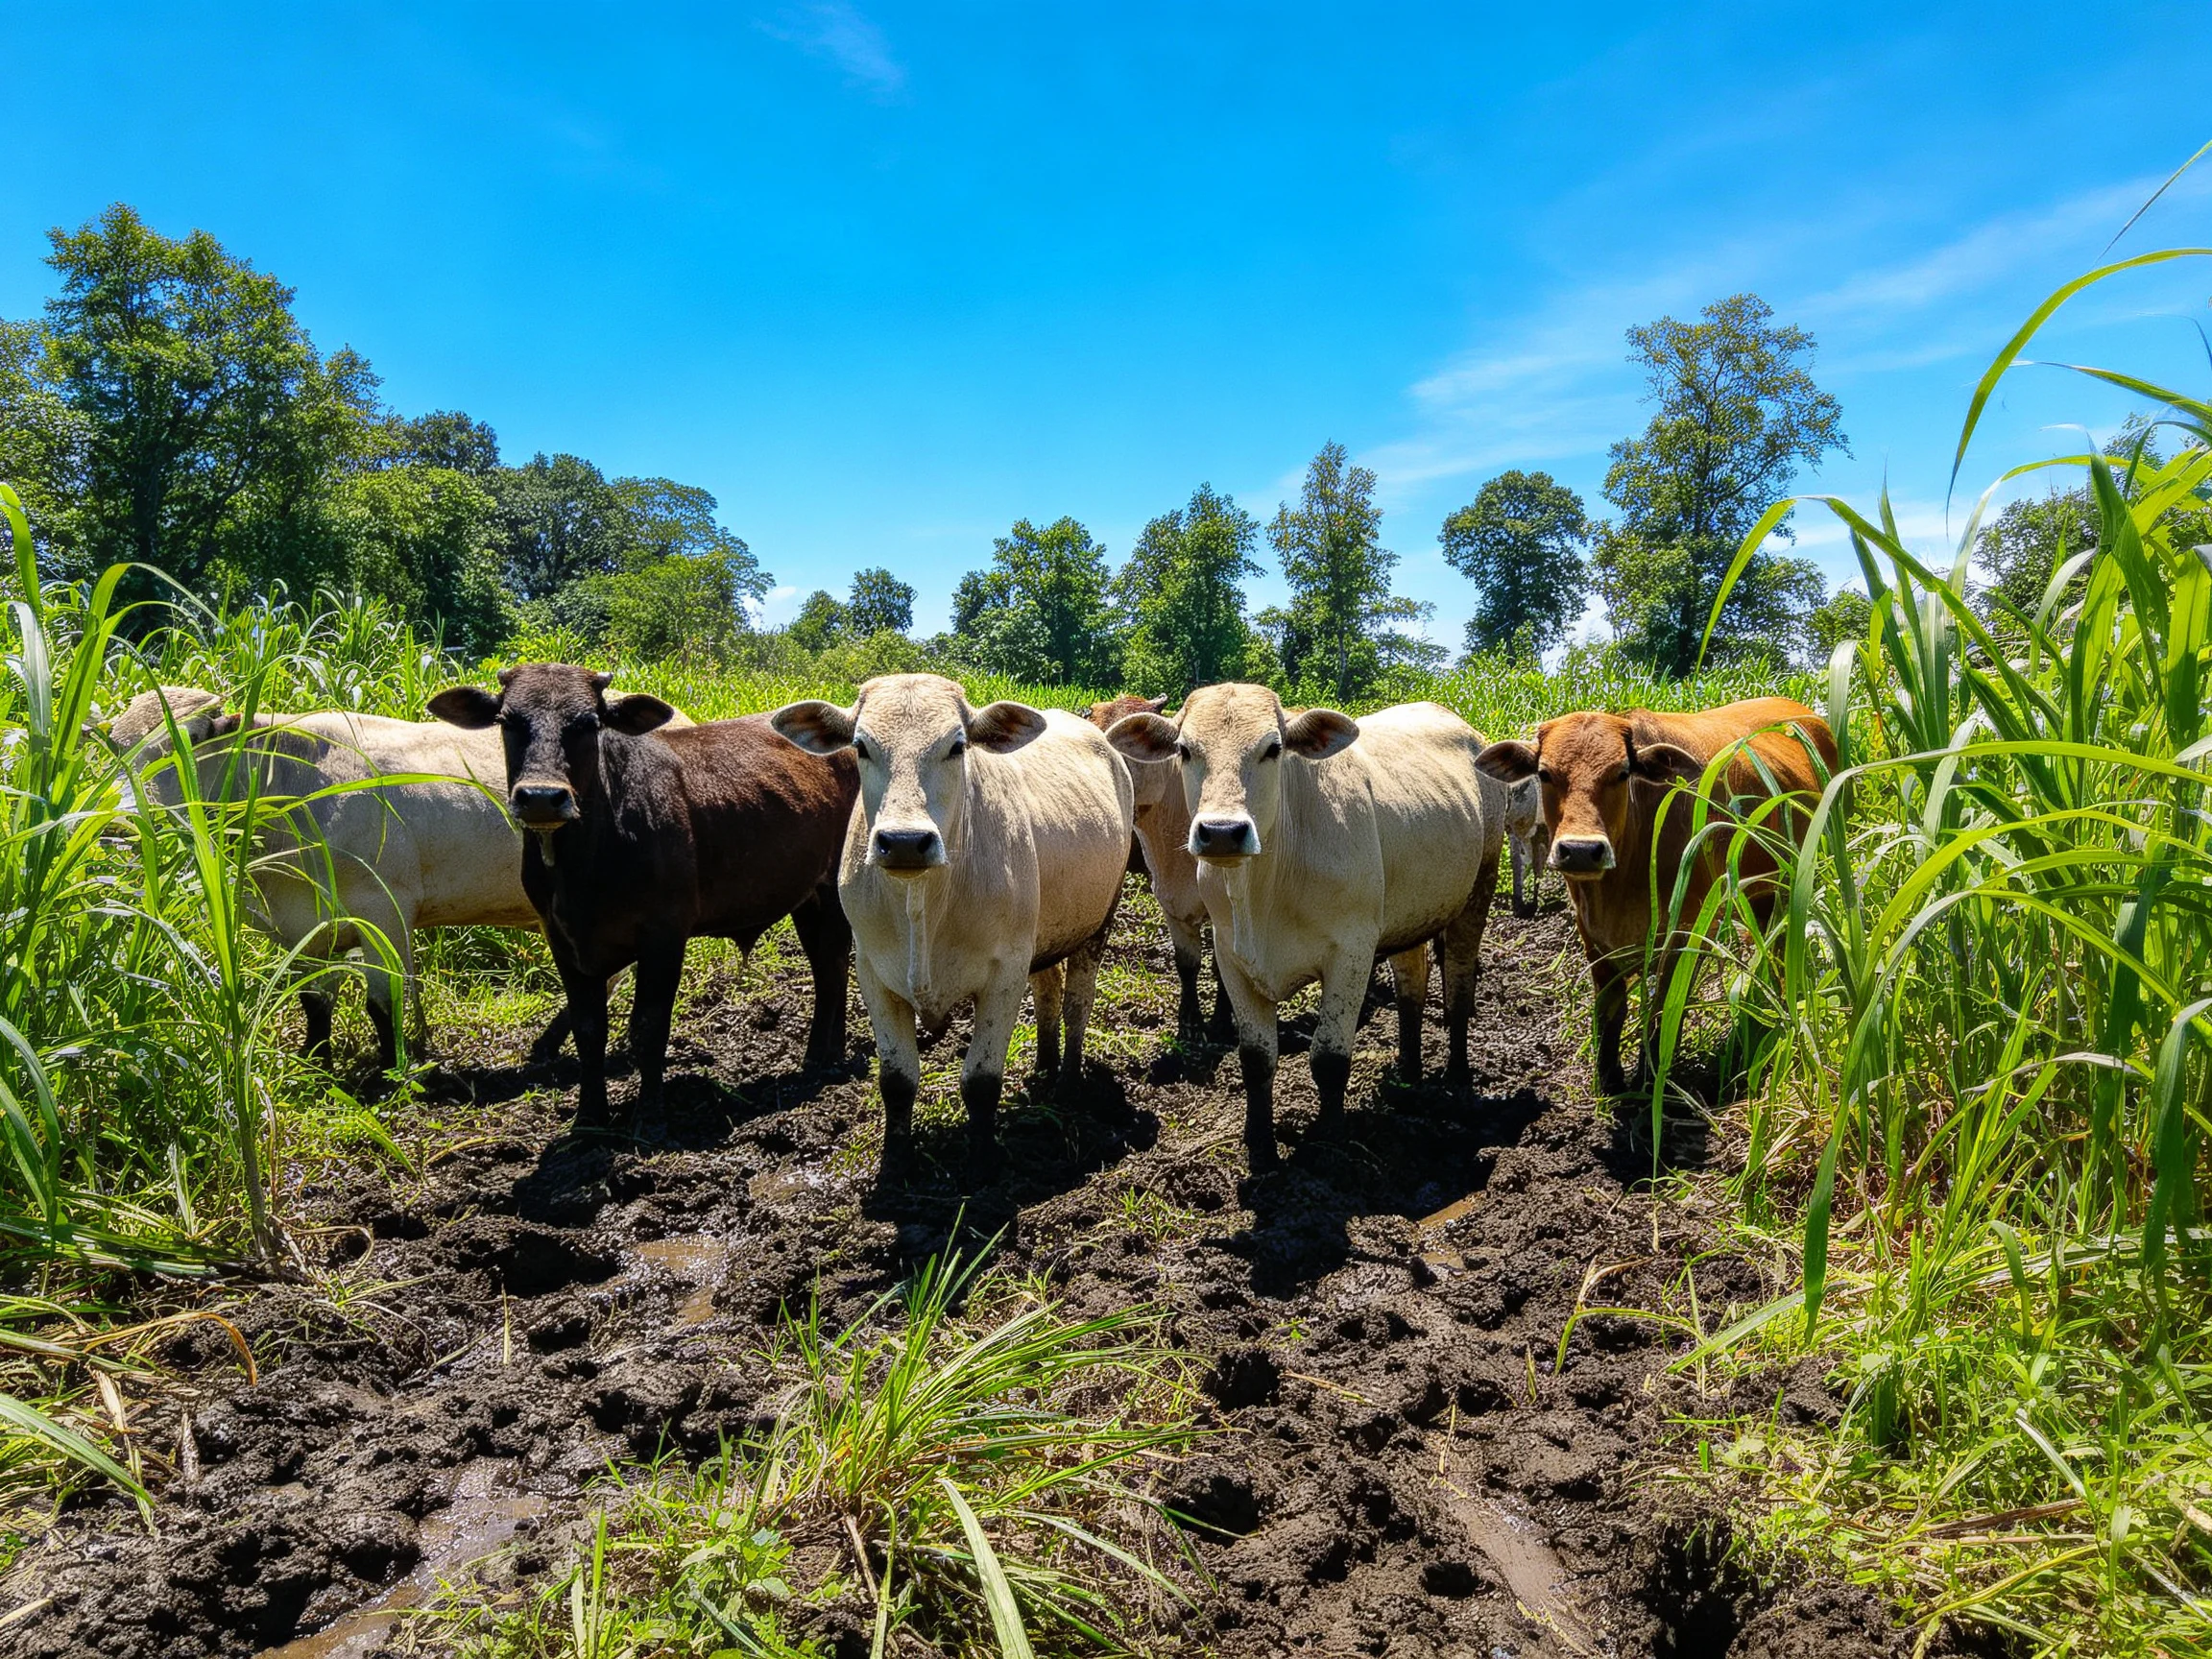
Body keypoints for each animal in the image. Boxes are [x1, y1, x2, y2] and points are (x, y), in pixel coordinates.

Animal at [109, 684, 689, 1069]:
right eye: (113, 746)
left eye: (188, 740)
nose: (117, 823)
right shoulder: (303, 927)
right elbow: (315, 1003)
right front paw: (315, 1065)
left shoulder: (383, 909)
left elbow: (381, 1003)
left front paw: (392, 1070)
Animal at [428, 664, 857, 1127]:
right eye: (508, 721)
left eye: (589, 723)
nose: (542, 797)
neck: (582, 868)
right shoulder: (561, 938)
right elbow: (588, 1029)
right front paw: (589, 1118)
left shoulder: (664, 935)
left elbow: (649, 1027)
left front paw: (649, 1118)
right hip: (808, 898)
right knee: (825, 967)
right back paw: (829, 1050)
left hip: (835, 892)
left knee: (834, 966)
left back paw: (822, 1059)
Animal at [770, 674, 1135, 1179]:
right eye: (861, 746)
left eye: (957, 746)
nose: (904, 842)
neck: (923, 903)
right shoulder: (872, 973)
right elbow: (897, 1080)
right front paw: (896, 1161)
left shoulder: (1004, 975)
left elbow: (981, 1080)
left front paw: (981, 1163)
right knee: (1048, 992)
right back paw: (1043, 1071)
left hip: (1098, 923)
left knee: (1076, 1005)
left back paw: (1067, 1082)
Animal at [1103, 683, 1503, 1173]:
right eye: (1184, 749)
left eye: (1273, 748)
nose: (1222, 832)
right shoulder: (1231, 956)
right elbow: (1255, 1058)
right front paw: (1260, 1147)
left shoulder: (1351, 954)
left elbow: (1329, 1058)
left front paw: (1329, 1144)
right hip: (1410, 912)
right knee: (1412, 987)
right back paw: (1408, 1076)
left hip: (1478, 891)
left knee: (1458, 989)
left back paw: (1457, 1079)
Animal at [1472, 697, 1837, 1095]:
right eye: (1544, 773)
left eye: (1621, 773)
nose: (1581, 851)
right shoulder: (1592, 933)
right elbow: (1610, 1008)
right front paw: (1609, 1079)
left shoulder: (1686, 931)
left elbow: (1664, 1007)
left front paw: (1649, 1076)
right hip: (1763, 893)